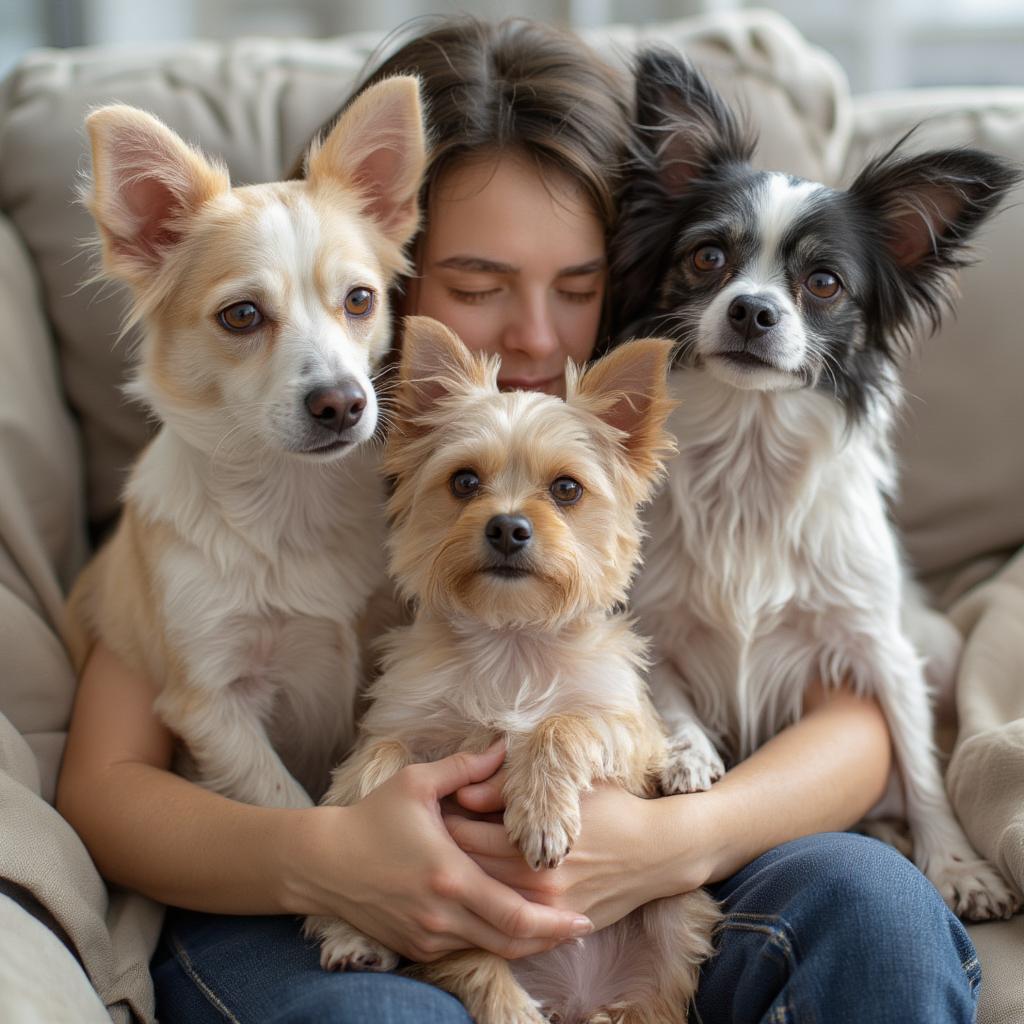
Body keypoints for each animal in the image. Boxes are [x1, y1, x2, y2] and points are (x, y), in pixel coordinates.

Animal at [307, 317, 716, 1024]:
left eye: (567, 489)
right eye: (464, 482)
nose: (507, 527)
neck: (511, 642)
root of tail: (577, 1000)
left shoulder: (632, 734)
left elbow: (560, 727)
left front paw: (542, 814)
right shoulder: (401, 724)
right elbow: (372, 767)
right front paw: (358, 897)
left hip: (676, 917)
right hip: (462, 935)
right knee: (484, 973)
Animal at [614, 49, 1024, 921]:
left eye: (825, 283)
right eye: (708, 258)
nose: (752, 311)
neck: (748, 448)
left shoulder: (879, 646)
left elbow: (920, 762)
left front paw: (958, 866)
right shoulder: (652, 622)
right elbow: (668, 691)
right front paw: (686, 750)